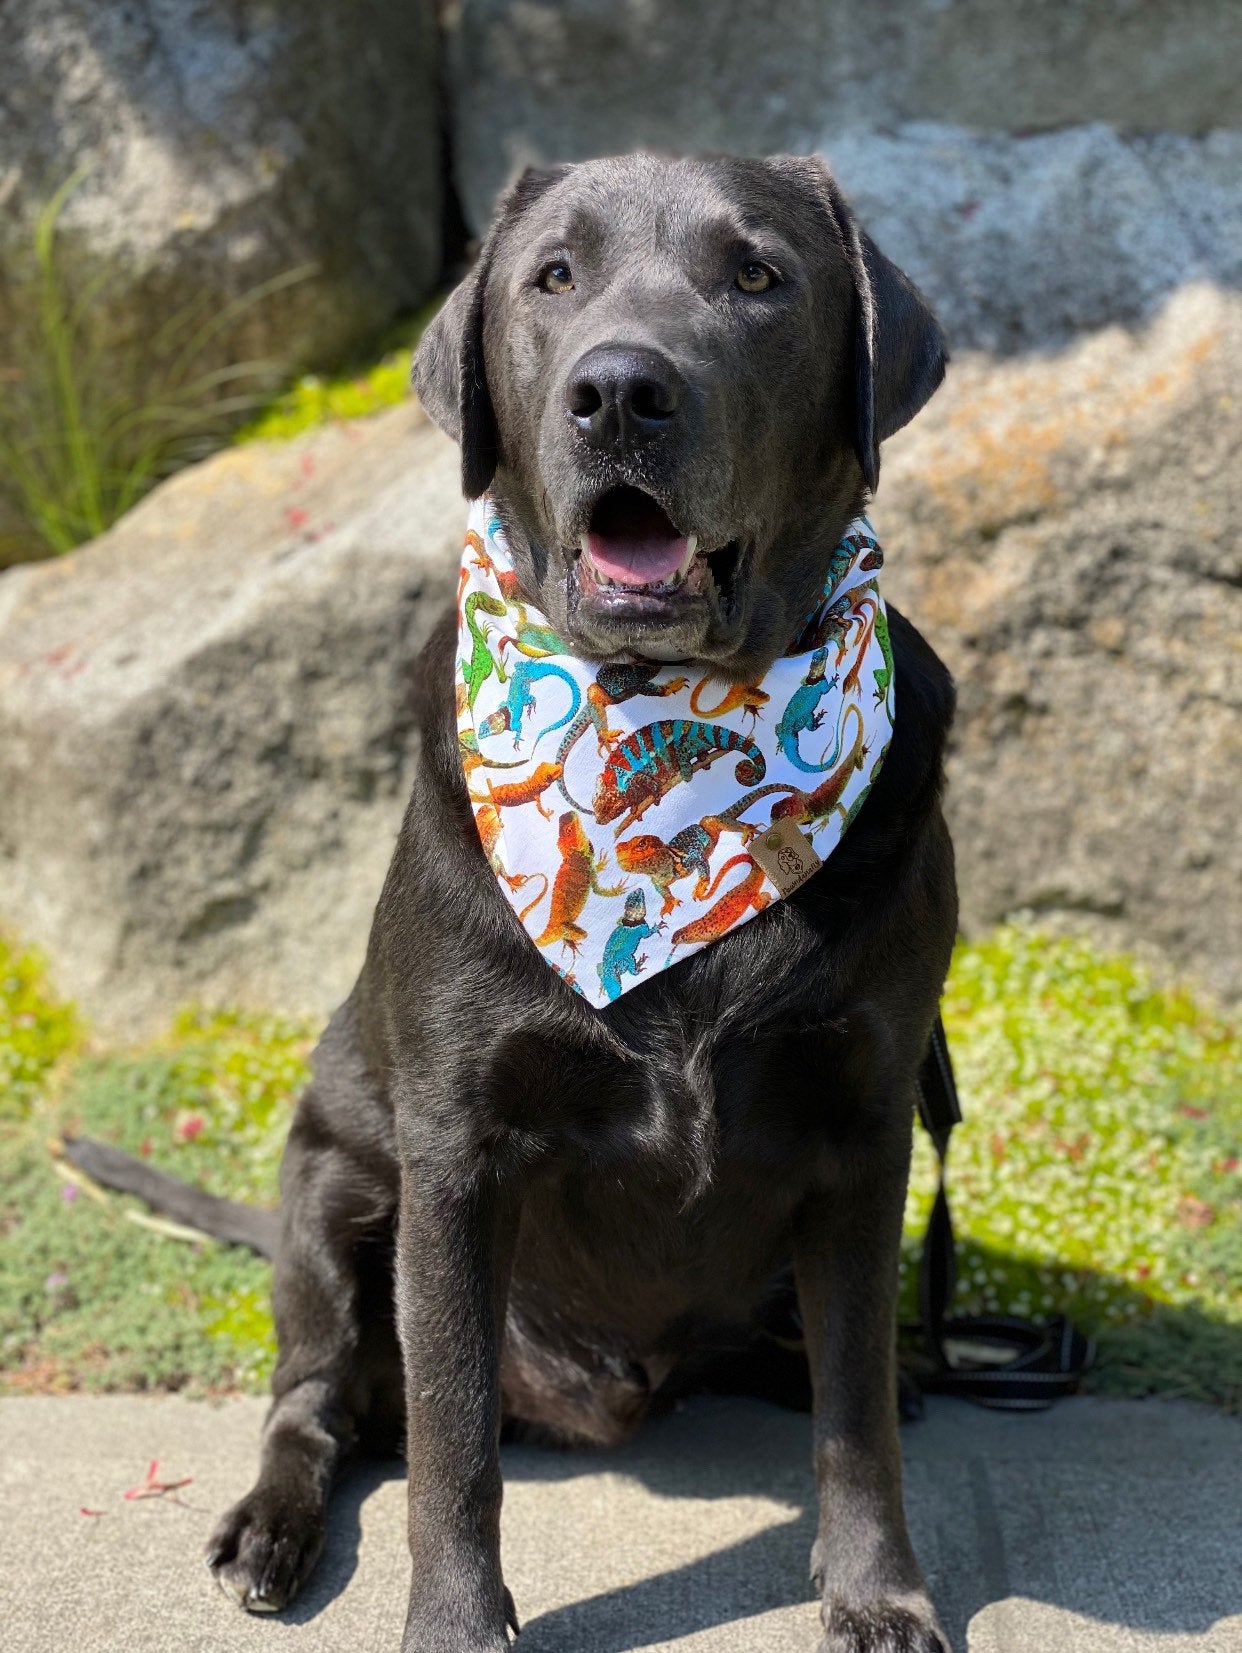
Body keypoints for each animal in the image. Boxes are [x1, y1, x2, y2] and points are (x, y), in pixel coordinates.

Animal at [204, 148, 959, 1646]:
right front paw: (452, 1619)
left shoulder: (863, 1126)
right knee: (318, 1399)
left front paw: (874, 1588)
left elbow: (851, 1409)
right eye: (553, 277)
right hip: (326, 1187)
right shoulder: (454, 1156)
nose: (618, 390)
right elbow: (449, 1433)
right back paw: (273, 1522)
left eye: (756, 275)